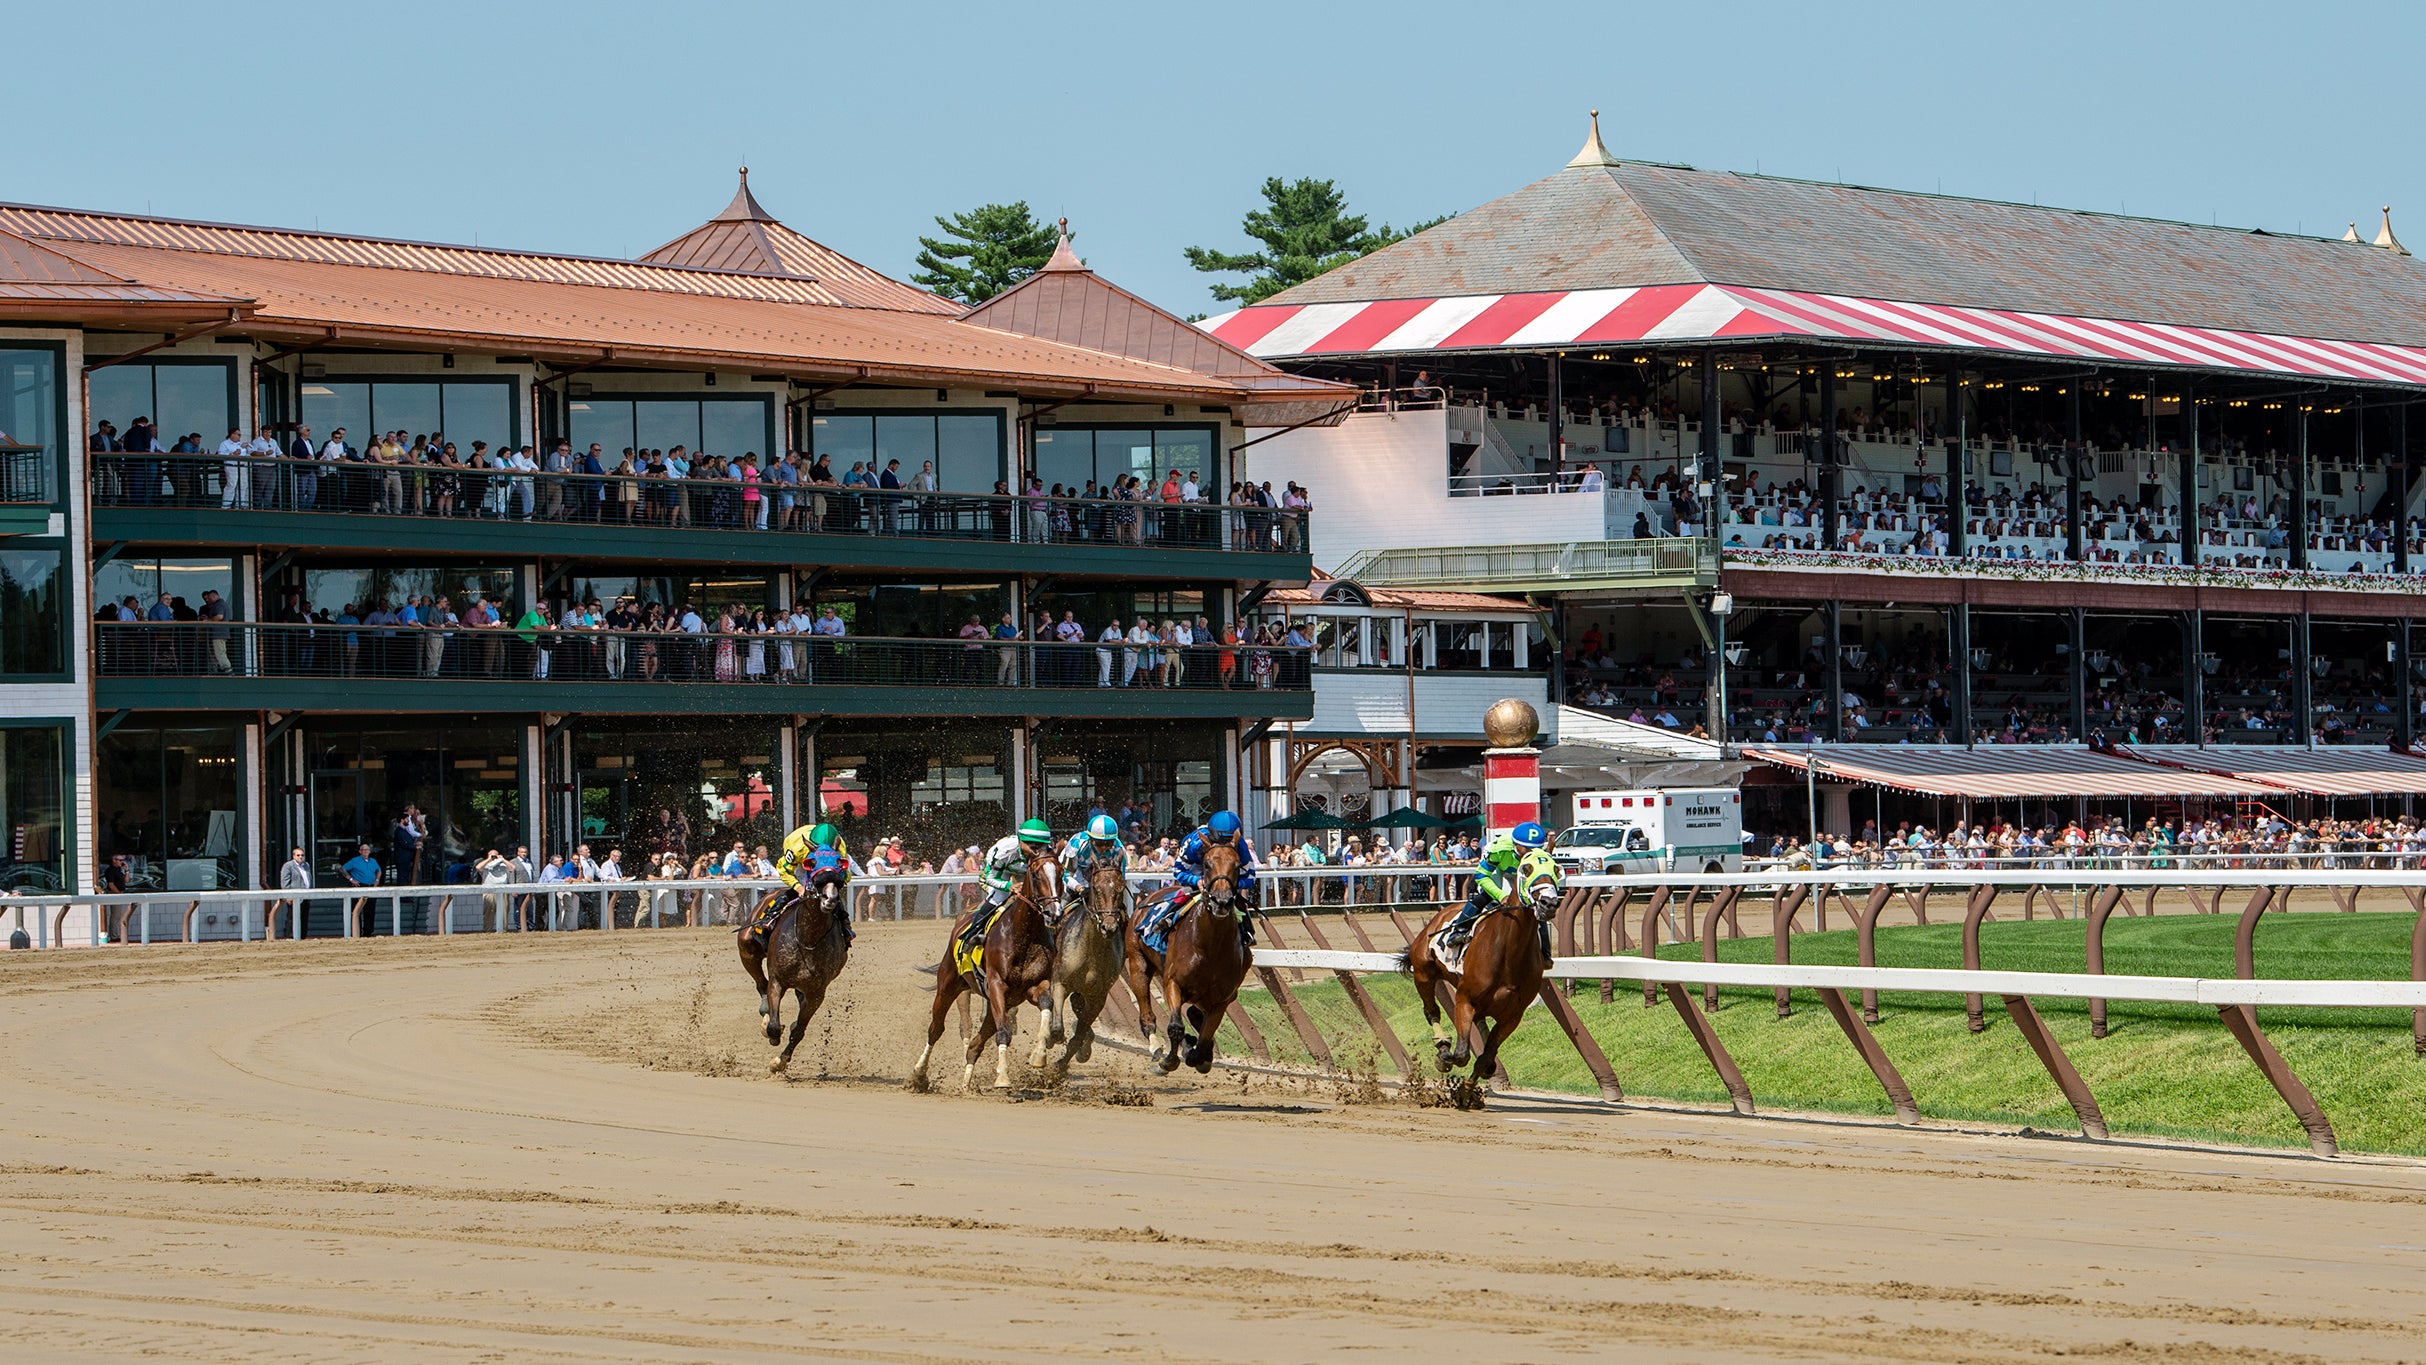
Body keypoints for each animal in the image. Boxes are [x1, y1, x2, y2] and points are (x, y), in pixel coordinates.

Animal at [727, 863, 853, 1081]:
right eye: (817, 880)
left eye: (838, 881)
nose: (830, 900)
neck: (808, 939)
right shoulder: (778, 980)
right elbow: (774, 1025)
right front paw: (771, 1032)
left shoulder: (816, 993)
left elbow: (799, 1031)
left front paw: (779, 1062)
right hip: (747, 948)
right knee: (761, 983)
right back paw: (765, 1012)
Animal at [912, 848, 1057, 1095]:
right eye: (1037, 875)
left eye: (1061, 872)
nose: (1053, 912)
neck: (1024, 934)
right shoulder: (997, 984)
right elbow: (1004, 1032)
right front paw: (1003, 1078)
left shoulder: (1032, 987)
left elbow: (1047, 1004)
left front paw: (1039, 1055)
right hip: (949, 986)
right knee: (936, 1029)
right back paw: (919, 1075)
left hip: (998, 1003)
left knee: (975, 1044)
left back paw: (965, 1085)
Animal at [1028, 863, 1130, 1081]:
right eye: (1096, 888)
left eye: (1119, 889)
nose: (1108, 926)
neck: (1091, 950)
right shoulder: (1059, 983)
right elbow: (1057, 1028)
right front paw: (1051, 1041)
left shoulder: (1098, 997)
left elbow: (1079, 1033)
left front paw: (1063, 1064)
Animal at [1125, 843, 1261, 1081]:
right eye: (1207, 864)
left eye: (1237, 865)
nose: (1222, 901)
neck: (1210, 948)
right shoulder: (1173, 983)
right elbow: (1175, 1028)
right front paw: (1169, 1060)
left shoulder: (1223, 999)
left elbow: (1205, 1037)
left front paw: (1196, 1052)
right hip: (1138, 965)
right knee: (1147, 1015)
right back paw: (1156, 1048)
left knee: (1195, 1015)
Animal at [1407, 877, 1552, 1100]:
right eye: (1528, 873)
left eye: (1556, 873)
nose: (1548, 904)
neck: (1509, 956)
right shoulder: (1464, 999)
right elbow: (1461, 1054)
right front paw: (1446, 1058)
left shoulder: (1513, 1016)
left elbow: (1485, 1057)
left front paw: (1466, 1092)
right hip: (1423, 973)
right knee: (1431, 1011)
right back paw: (1442, 1046)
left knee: (1480, 1024)